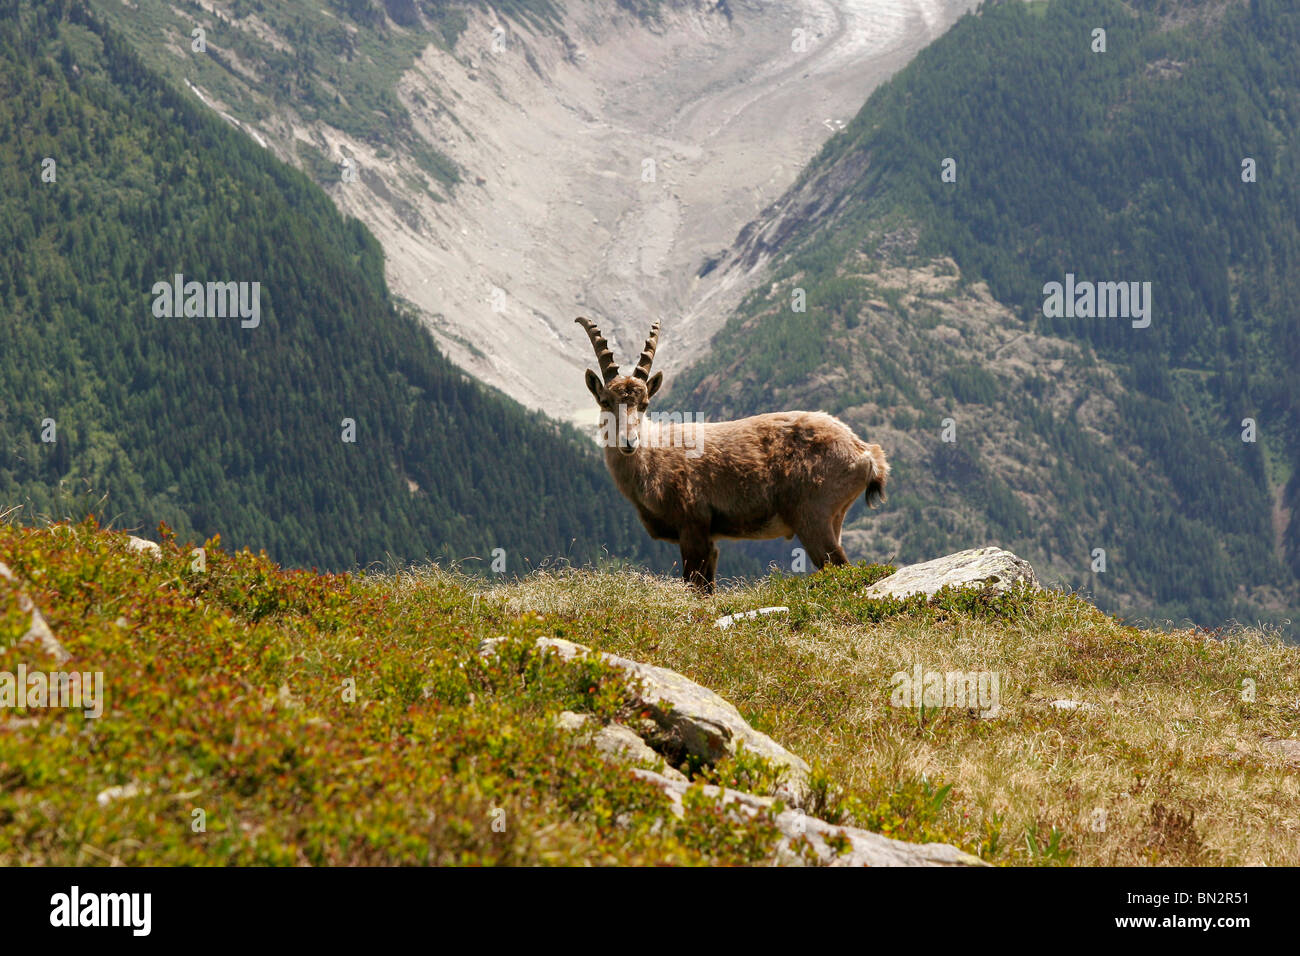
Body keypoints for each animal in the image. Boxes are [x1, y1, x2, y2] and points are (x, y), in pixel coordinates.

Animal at [576, 316, 889, 593]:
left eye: (643, 404)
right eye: (605, 401)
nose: (629, 441)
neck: (653, 459)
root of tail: (866, 453)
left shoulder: (693, 526)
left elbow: (695, 586)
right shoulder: (709, 539)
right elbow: (706, 588)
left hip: (813, 515)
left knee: (839, 566)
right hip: (834, 518)